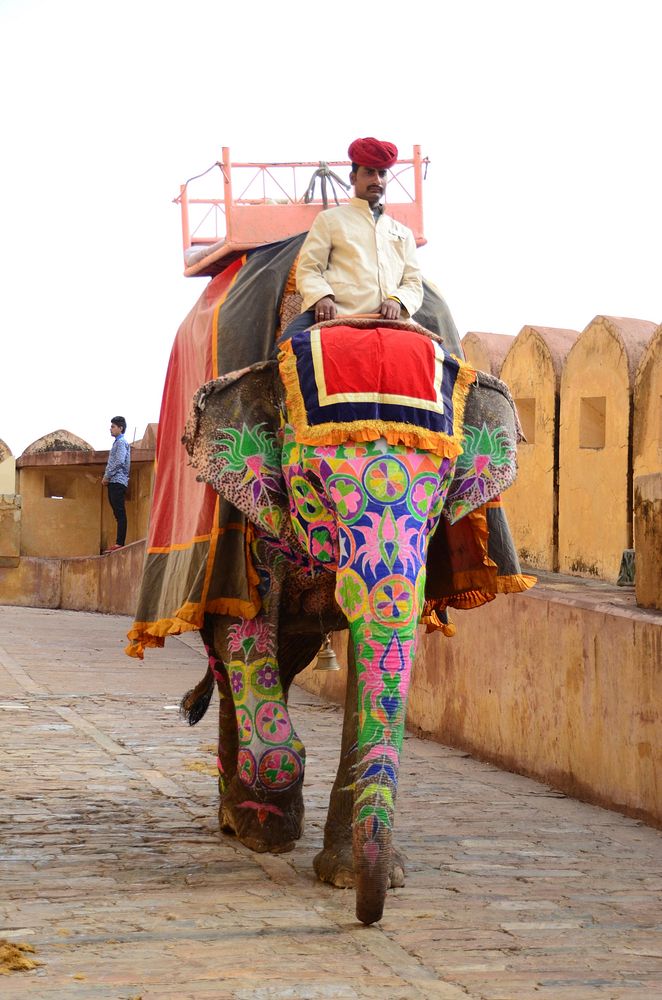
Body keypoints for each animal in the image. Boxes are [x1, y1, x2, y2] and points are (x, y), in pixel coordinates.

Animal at [127, 238, 536, 924]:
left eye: (443, 498)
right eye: (316, 488)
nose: (371, 916)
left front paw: (355, 877)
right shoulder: (246, 510)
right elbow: (248, 628)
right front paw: (274, 817)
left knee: (286, 656)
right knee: (232, 653)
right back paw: (244, 824)